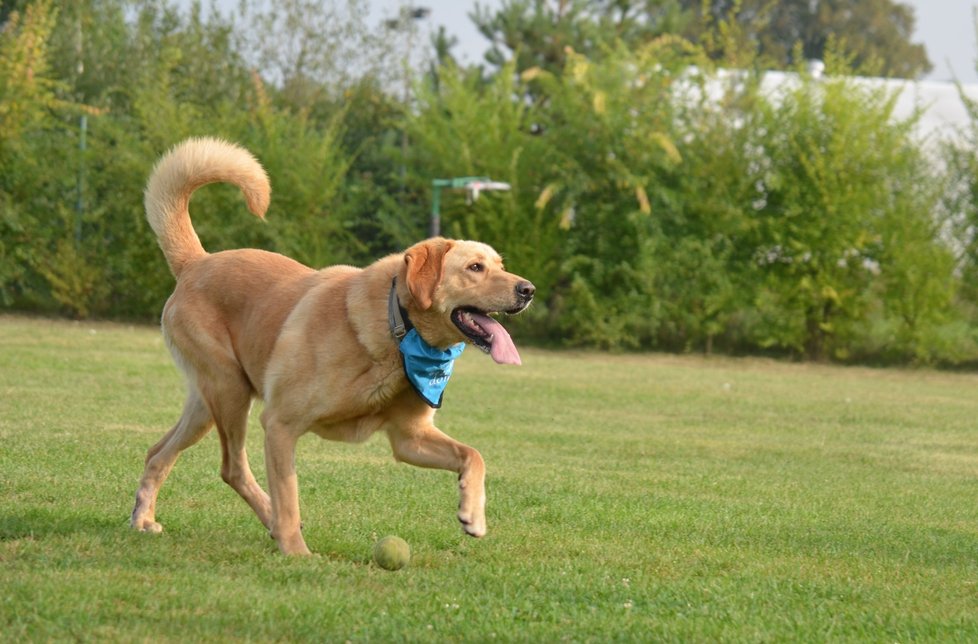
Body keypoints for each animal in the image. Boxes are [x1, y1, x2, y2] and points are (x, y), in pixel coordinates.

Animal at [127, 140, 532, 552]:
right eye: (475, 268)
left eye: (500, 264)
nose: (528, 290)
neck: (397, 331)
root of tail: (197, 262)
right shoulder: (280, 425)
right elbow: (289, 496)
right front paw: (295, 552)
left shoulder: (409, 438)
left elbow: (473, 454)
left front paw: (473, 514)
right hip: (230, 392)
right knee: (233, 468)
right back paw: (271, 522)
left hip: (207, 405)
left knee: (158, 452)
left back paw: (143, 518)